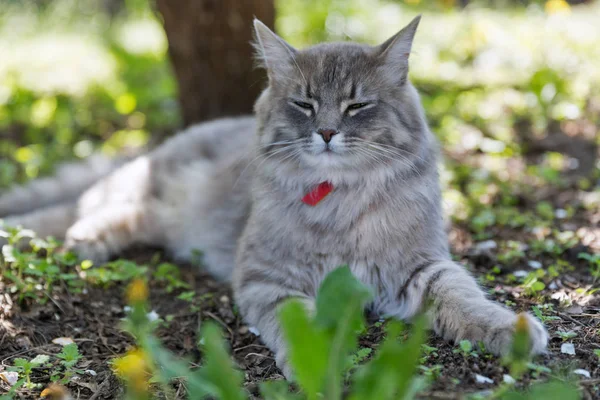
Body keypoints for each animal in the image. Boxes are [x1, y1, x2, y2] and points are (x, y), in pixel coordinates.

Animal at [0, 17, 548, 376]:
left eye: (357, 106)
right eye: (304, 104)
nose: (326, 132)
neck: (340, 199)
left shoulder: (420, 267)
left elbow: (465, 298)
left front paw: (510, 330)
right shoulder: (270, 278)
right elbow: (301, 325)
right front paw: (317, 363)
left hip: (154, 213)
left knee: (120, 215)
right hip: (139, 184)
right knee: (72, 208)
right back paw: (54, 237)